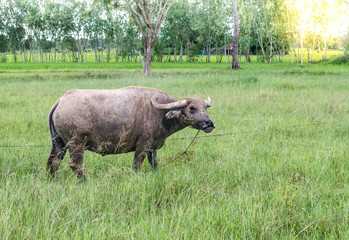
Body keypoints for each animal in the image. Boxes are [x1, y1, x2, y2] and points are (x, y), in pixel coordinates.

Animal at [47, 85, 213, 179]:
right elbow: (136, 165)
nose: (209, 123)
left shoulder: (153, 147)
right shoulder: (143, 145)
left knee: (54, 161)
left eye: (205, 107)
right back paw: (85, 181)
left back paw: (54, 179)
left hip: (58, 142)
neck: (161, 114)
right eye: (192, 108)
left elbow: (154, 164)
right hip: (76, 143)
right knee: (75, 164)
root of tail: (61, 101)